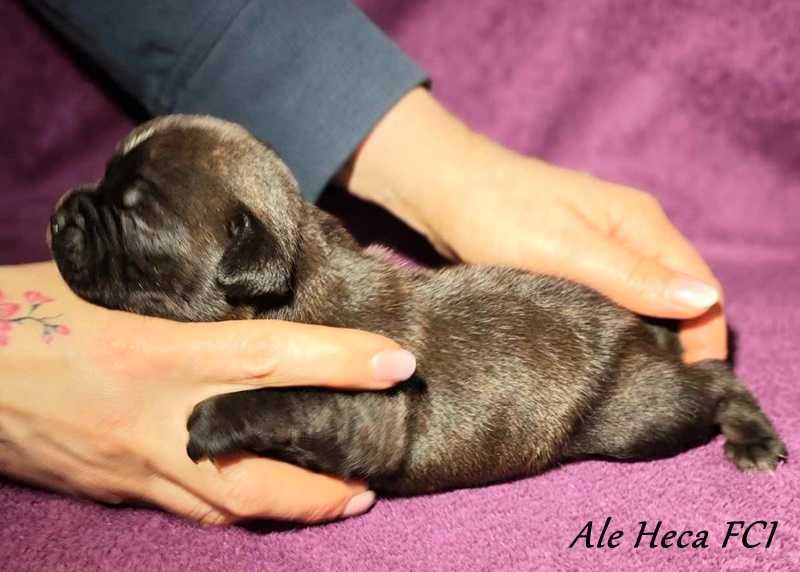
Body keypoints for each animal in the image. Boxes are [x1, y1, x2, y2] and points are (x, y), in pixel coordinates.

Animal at [50, 115, 788, 496]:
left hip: (636, 416)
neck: (294, 273)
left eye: (137, 215)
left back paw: (753, 437)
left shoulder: (370, 400)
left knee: (713, 384)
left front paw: (210, 421)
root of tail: (650, 331)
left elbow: (282, 399)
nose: (60, 210)